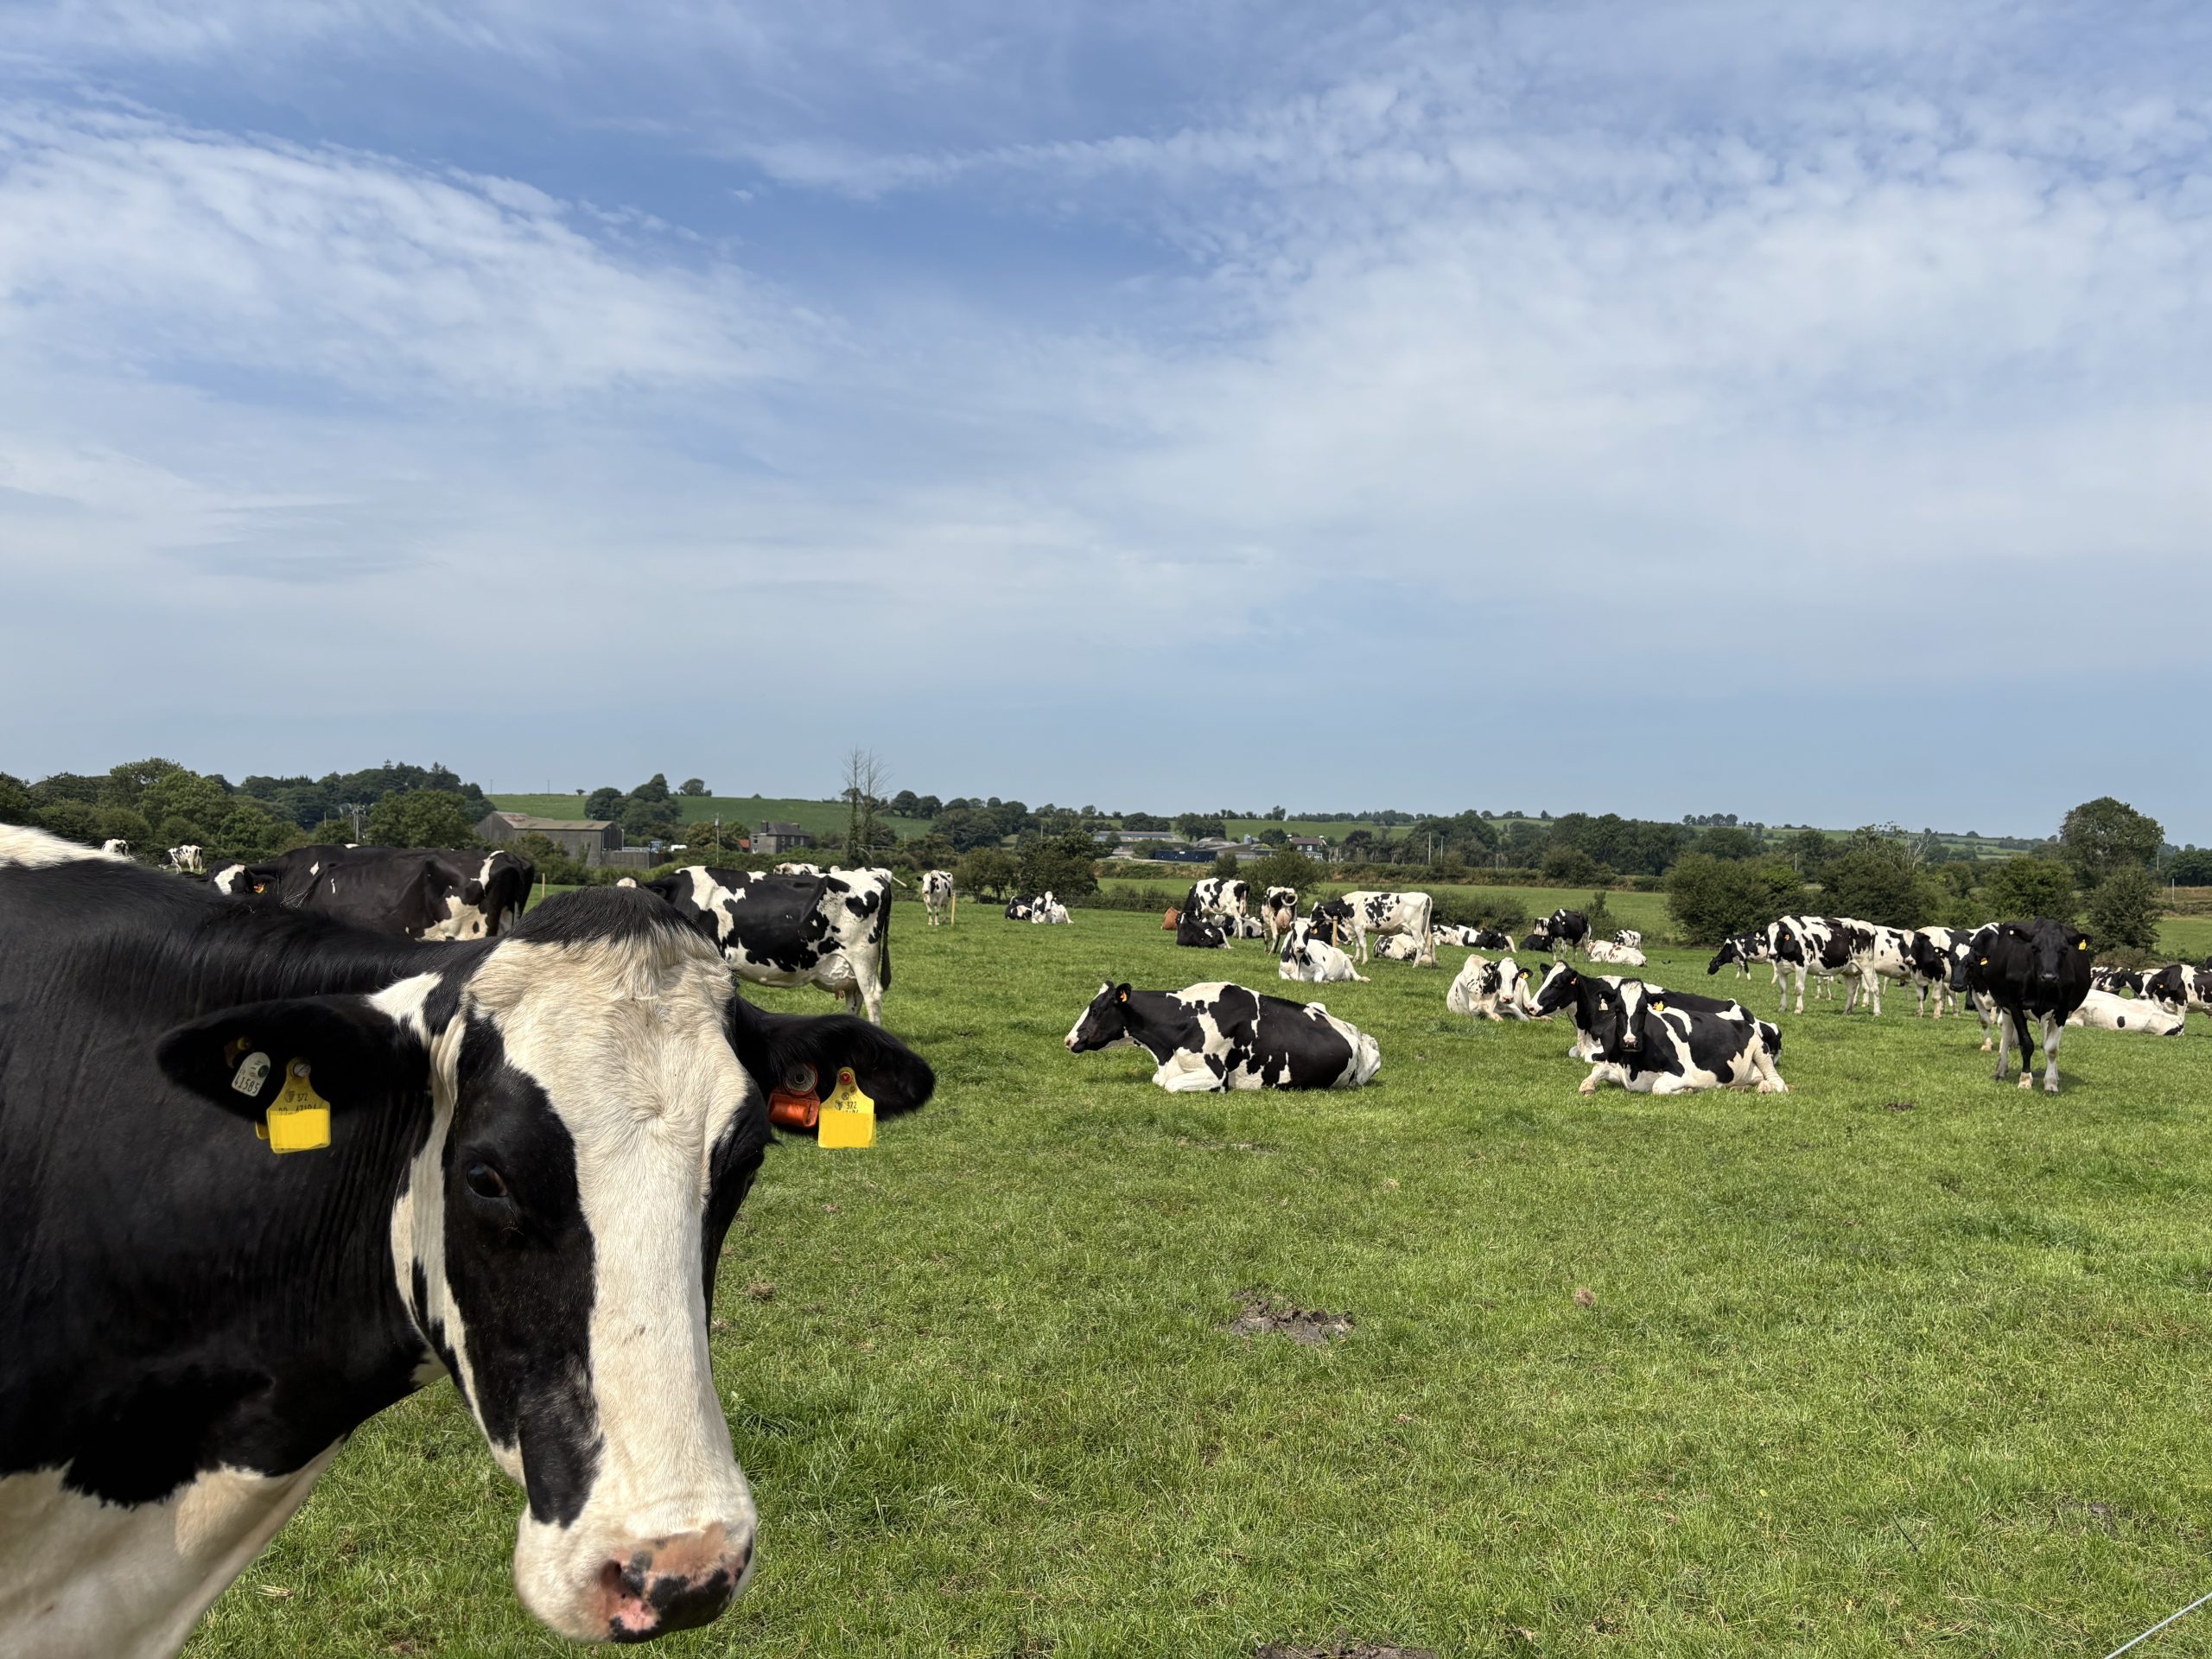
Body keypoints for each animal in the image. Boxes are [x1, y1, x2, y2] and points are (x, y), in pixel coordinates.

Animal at [1950, 918, 2094, 1092]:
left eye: (2064, 950)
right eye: (2034, 948)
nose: (2049, 977)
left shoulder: (2062, 1011)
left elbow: (2052, 1048)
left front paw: (2051, 1082)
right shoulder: (2013, 1006)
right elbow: (2026, 1043)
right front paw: (2025, 1079)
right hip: (2006, 1006)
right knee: (2006, 1034)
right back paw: (2001, 1070)